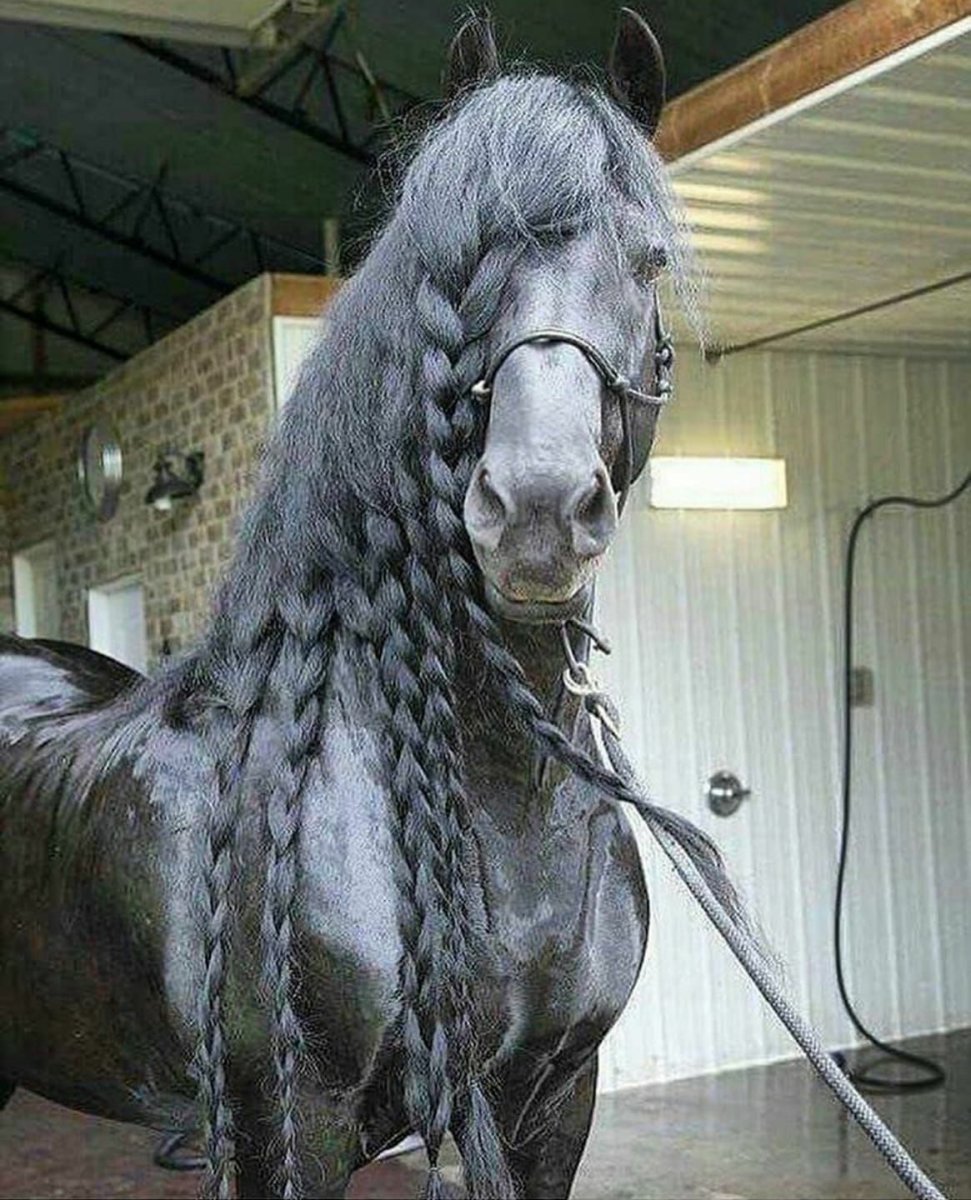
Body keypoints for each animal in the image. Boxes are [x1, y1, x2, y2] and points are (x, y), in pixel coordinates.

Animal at [0, 12, 741, 1199]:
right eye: (459, 262)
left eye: (649, 259)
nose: (536, 506)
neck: (499, 794)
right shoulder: (286, 1127)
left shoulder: (553, 1103)